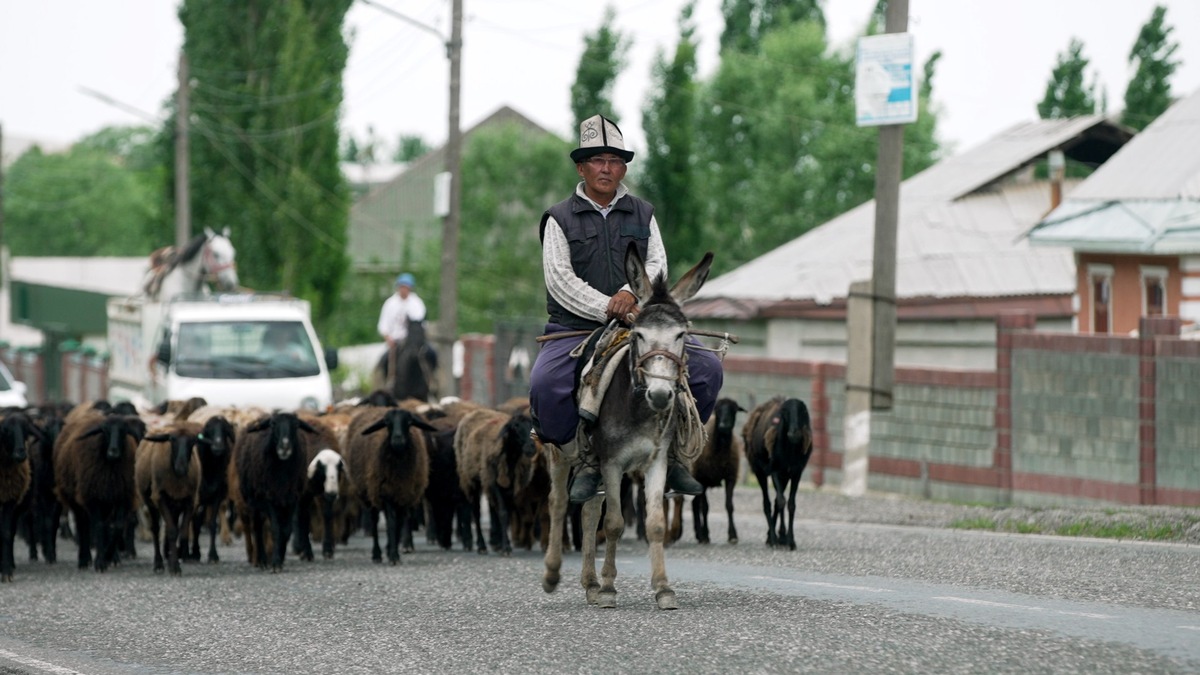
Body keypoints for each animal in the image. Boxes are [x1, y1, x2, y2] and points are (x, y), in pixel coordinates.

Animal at [1, 408, 48, 581]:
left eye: (26, 430)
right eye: (6, 431)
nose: (20, 453)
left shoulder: (9, 500)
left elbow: (6, 534)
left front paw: (6, 572)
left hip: (22, 502)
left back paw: (12, 563)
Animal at [137, 420, 202, 571]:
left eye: (193, 441)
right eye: (172, 440)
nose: (181, 467)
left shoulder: (191, 501)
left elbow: (182, 533)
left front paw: (176, 561)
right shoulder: (160, 498)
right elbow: (172, 532)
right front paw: (174, 568)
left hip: (175, 505)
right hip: (151, 502)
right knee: (156, 529)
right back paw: (158, 563)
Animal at [228, 408, 314, 569]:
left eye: (296, 425)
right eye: (273, 424)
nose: (285, 447)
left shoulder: (291, 499)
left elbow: (286, 531)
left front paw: (279, 558)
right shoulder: (267, 497)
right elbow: (275, 529)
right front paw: (274, 563)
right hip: (253, 500)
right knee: (256, 527)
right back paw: (261, 560)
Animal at [345, 403, 434, 562]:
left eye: (409, 422)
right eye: (387, 423)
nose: (397, 440)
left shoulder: (405, 495)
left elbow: (399, 522)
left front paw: (394, 551)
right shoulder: (385, 492)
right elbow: (392, 523)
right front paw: (393, 556)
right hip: (369, 493)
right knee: (374, 520)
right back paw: (377, 554)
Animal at [453, 403, 540, 552]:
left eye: (531, 425)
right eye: (515, 427)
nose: (531, 448)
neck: (510, 458)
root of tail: (474, 412)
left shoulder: (510, 485)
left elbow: (506, 513)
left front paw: (504, 545)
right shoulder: (493, 482)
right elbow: (503, 513)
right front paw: (506, 548)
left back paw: (495, 542)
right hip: (472, 479)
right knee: (476, 512)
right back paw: (481, 545)